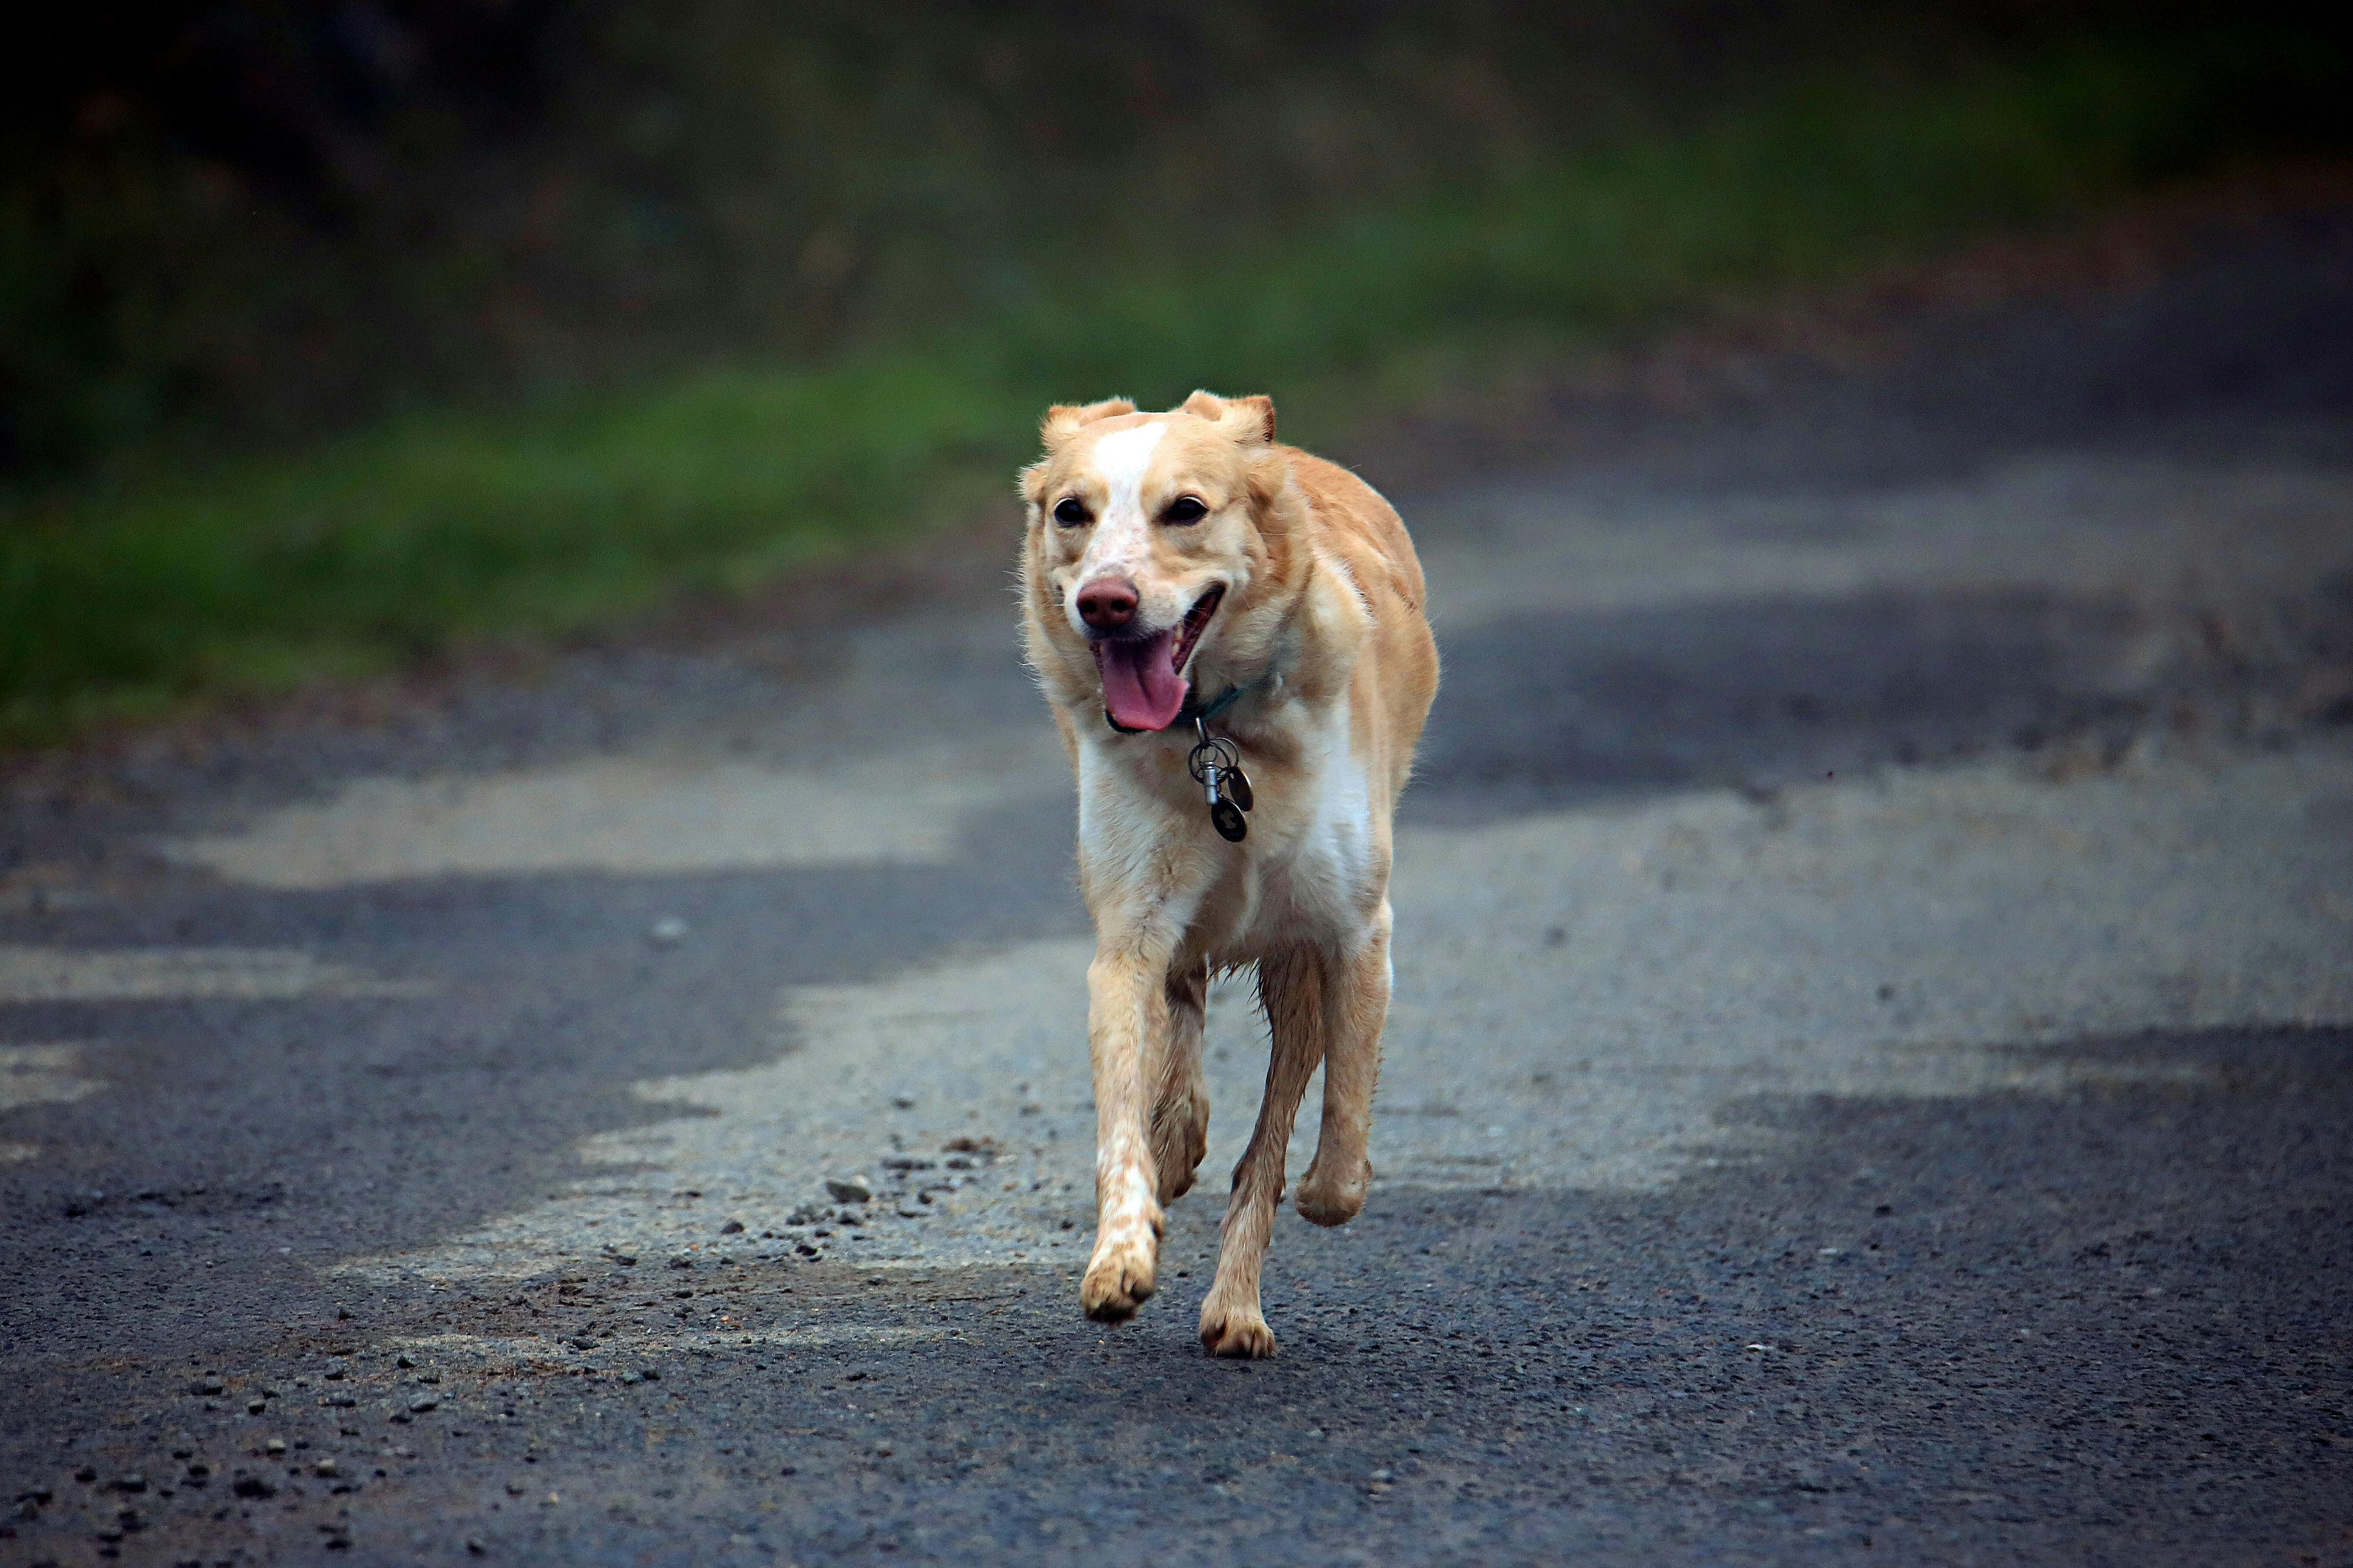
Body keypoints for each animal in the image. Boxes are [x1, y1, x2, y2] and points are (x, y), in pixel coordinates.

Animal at [1011, 385, 1430, 1354]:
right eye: (1071, 512)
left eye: (1187, 510)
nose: (1106, 603)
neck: (1213, 733)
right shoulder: (1126, 940)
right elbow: (1123, 1120)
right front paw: (1121, 1256)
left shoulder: (1352, 936)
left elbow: (1331, 1139)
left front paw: (1312, 1197)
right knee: (1184, 1019)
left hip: (1297, 971)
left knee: (1270, 1133)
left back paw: (1236, 1307)